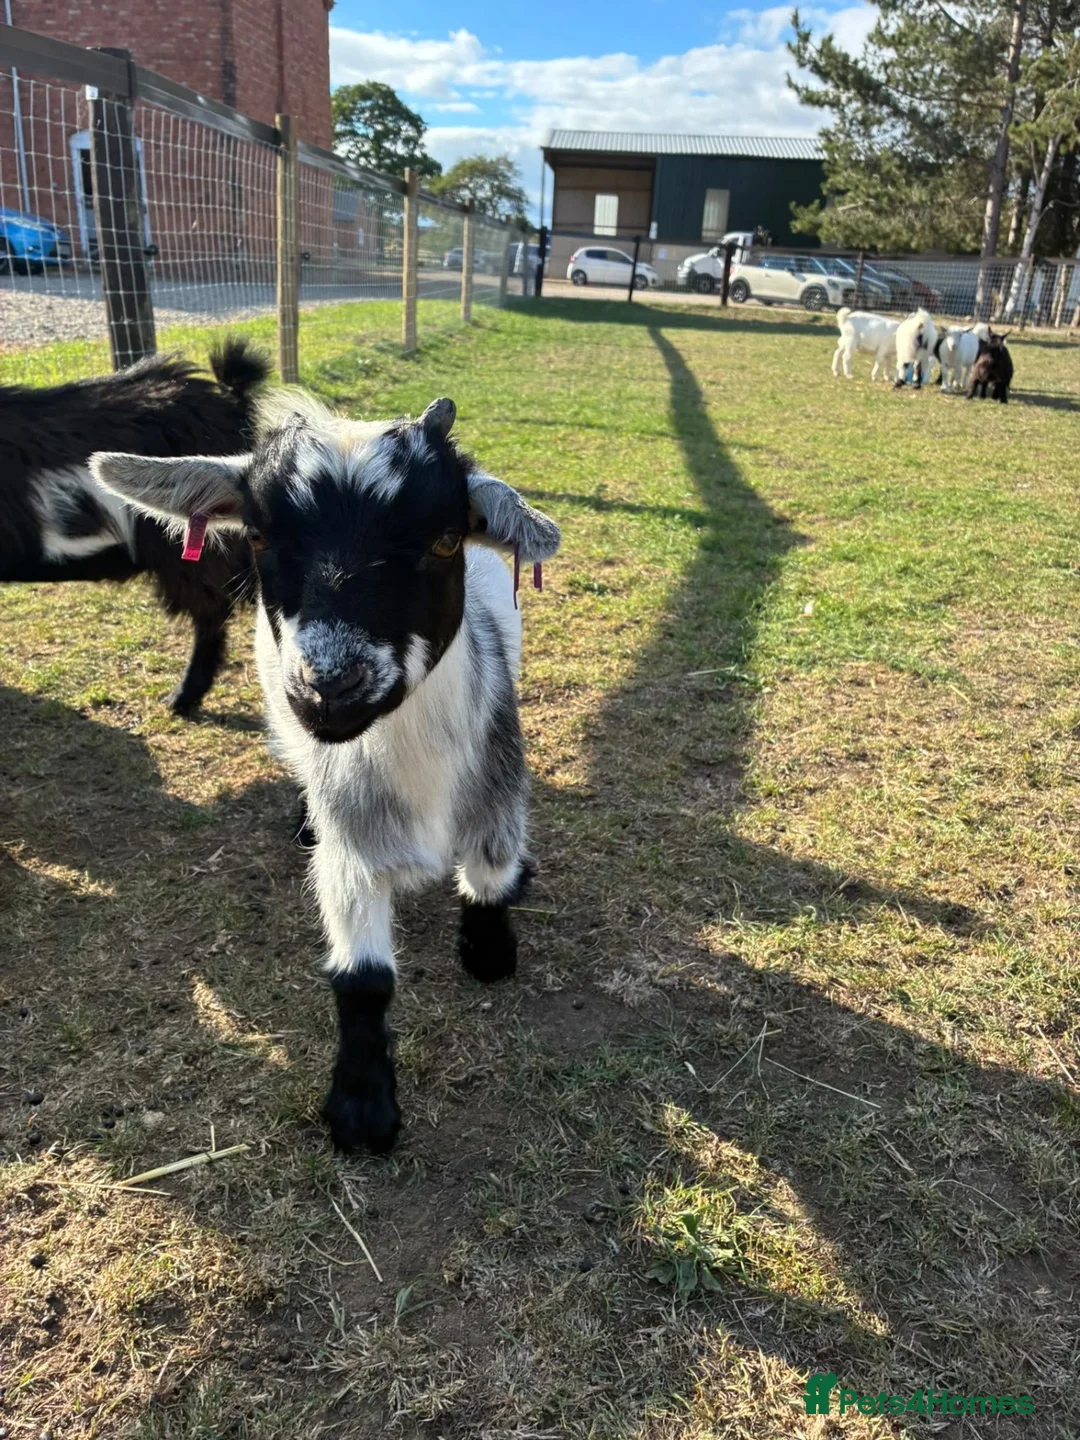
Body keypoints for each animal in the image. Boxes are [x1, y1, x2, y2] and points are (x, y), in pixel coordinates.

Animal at [90, 393, 561, 1152]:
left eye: (445, 540)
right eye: (256, 536)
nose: (330, 689)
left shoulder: (497, 780)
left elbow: (490, 870)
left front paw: (488, 946)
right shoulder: (352, 840)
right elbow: (362, 977)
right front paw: (362, 1109)